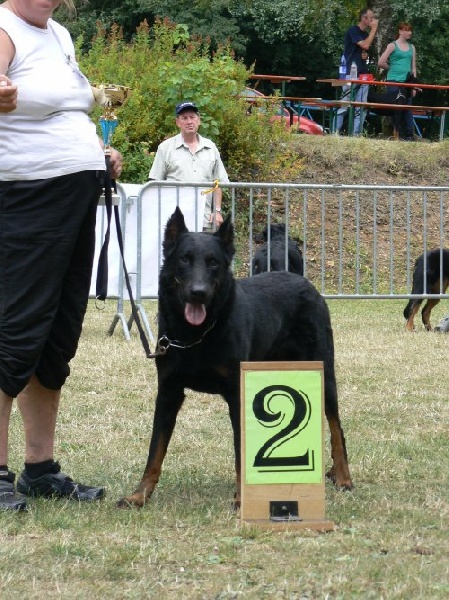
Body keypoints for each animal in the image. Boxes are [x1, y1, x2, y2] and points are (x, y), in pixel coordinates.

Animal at [117, 208, 353, 508]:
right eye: (184, 259)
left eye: (213, 262)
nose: (198, 292)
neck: (197, 334)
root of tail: (304, 282)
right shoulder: (168, 392)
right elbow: (155, 449)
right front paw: (140, 495)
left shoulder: (235, 393)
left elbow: (239, 449)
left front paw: (242, 498)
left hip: (324, 372)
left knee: (336, 427)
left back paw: (343, 475)